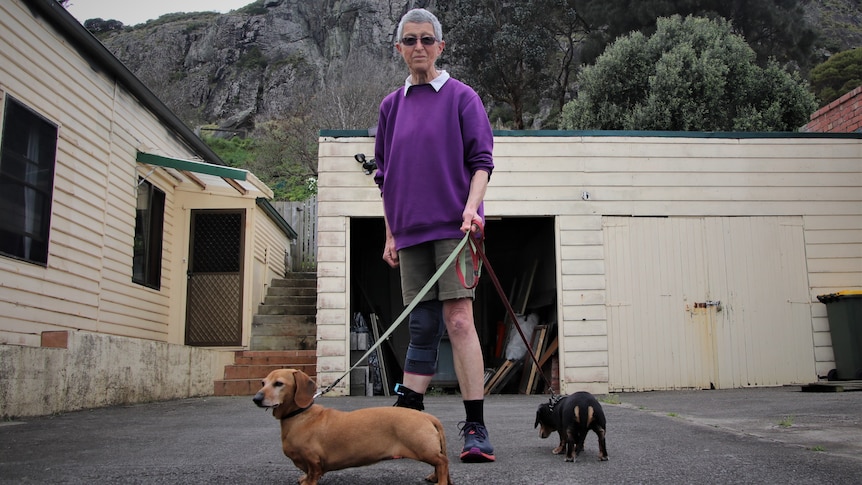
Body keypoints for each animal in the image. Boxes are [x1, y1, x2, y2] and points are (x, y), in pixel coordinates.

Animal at [253, 366, 452, 484]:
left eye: (279, 383)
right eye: (263, 382)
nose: (256, 399)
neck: (300, 415)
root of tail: (427, 416)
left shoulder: (313, 460)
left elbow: (313, 474)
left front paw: (307, 481)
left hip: (422, 449)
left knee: (442, 462)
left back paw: (441, 481)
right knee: (441, 464)